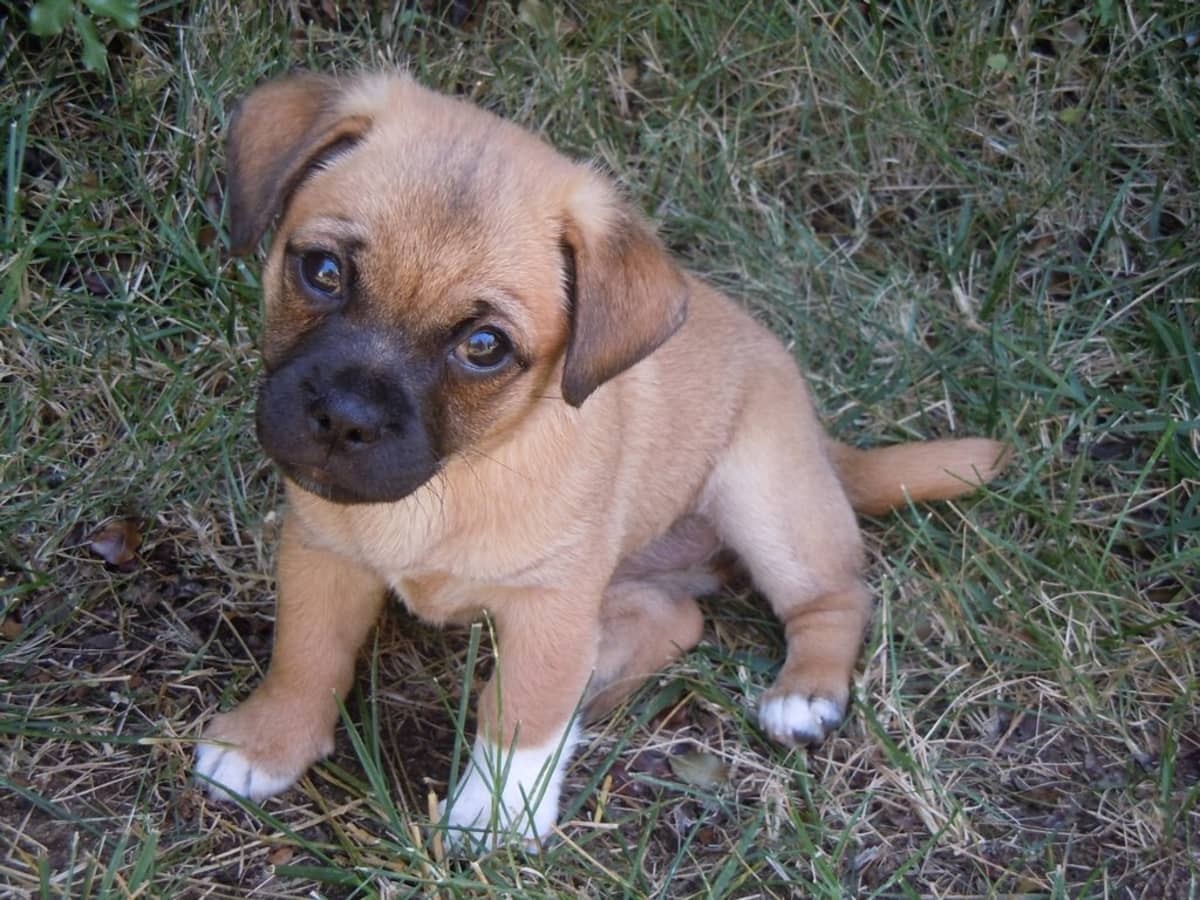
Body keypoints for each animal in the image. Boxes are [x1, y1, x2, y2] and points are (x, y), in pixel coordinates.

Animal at [196, 72, 1012, 854]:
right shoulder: (323, 554)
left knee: (835, 598)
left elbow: (522, 712)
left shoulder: (551, 608)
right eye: (322, 271)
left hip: (767, 505)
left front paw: (496, 815)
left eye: (484, 347)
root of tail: (818, 441)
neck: (460, 473)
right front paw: (268, 744)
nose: (344, 419)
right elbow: (306, 657)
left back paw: (803, 694)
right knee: (676, 620)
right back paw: (603, 684)